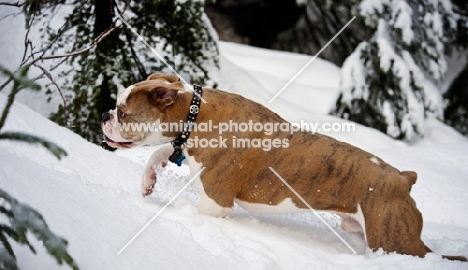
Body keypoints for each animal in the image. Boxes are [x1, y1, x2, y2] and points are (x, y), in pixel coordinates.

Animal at [101, 73, 464, 260]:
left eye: (123, 113)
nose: (105, 114)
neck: (194, 112)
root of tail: (402, 179)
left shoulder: (215, 203)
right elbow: (161, 151)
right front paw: (148, 180)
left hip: (395, 241)